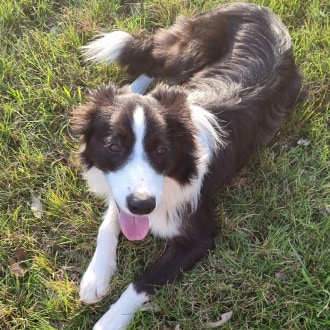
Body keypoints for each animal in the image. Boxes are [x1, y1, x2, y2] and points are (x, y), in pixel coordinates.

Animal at [71, 1, 302, 328]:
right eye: (114, 147)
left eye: (162, 150)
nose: (143, 205)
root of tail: (257, 6)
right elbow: (110, 221)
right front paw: (95, 276)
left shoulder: (200, 235)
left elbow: (142, 281)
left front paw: (109, 320)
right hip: (185, 55)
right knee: (154, 64)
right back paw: (129, 91)